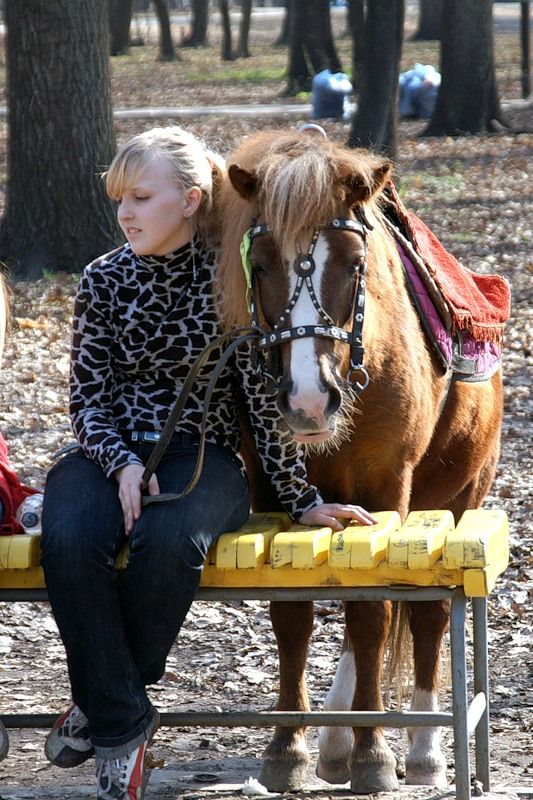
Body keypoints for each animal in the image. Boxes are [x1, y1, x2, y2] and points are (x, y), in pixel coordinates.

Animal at [215, 130, 504, 794]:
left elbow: (373, 612)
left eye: (352, 265)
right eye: (259, 264)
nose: (307, 398)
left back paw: (421, 748)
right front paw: (290, 748)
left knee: (425, 619)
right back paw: (336, 739)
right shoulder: (276, 493)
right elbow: (293, 614)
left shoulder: (386, 489)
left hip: (455, 500)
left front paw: (374, 752)